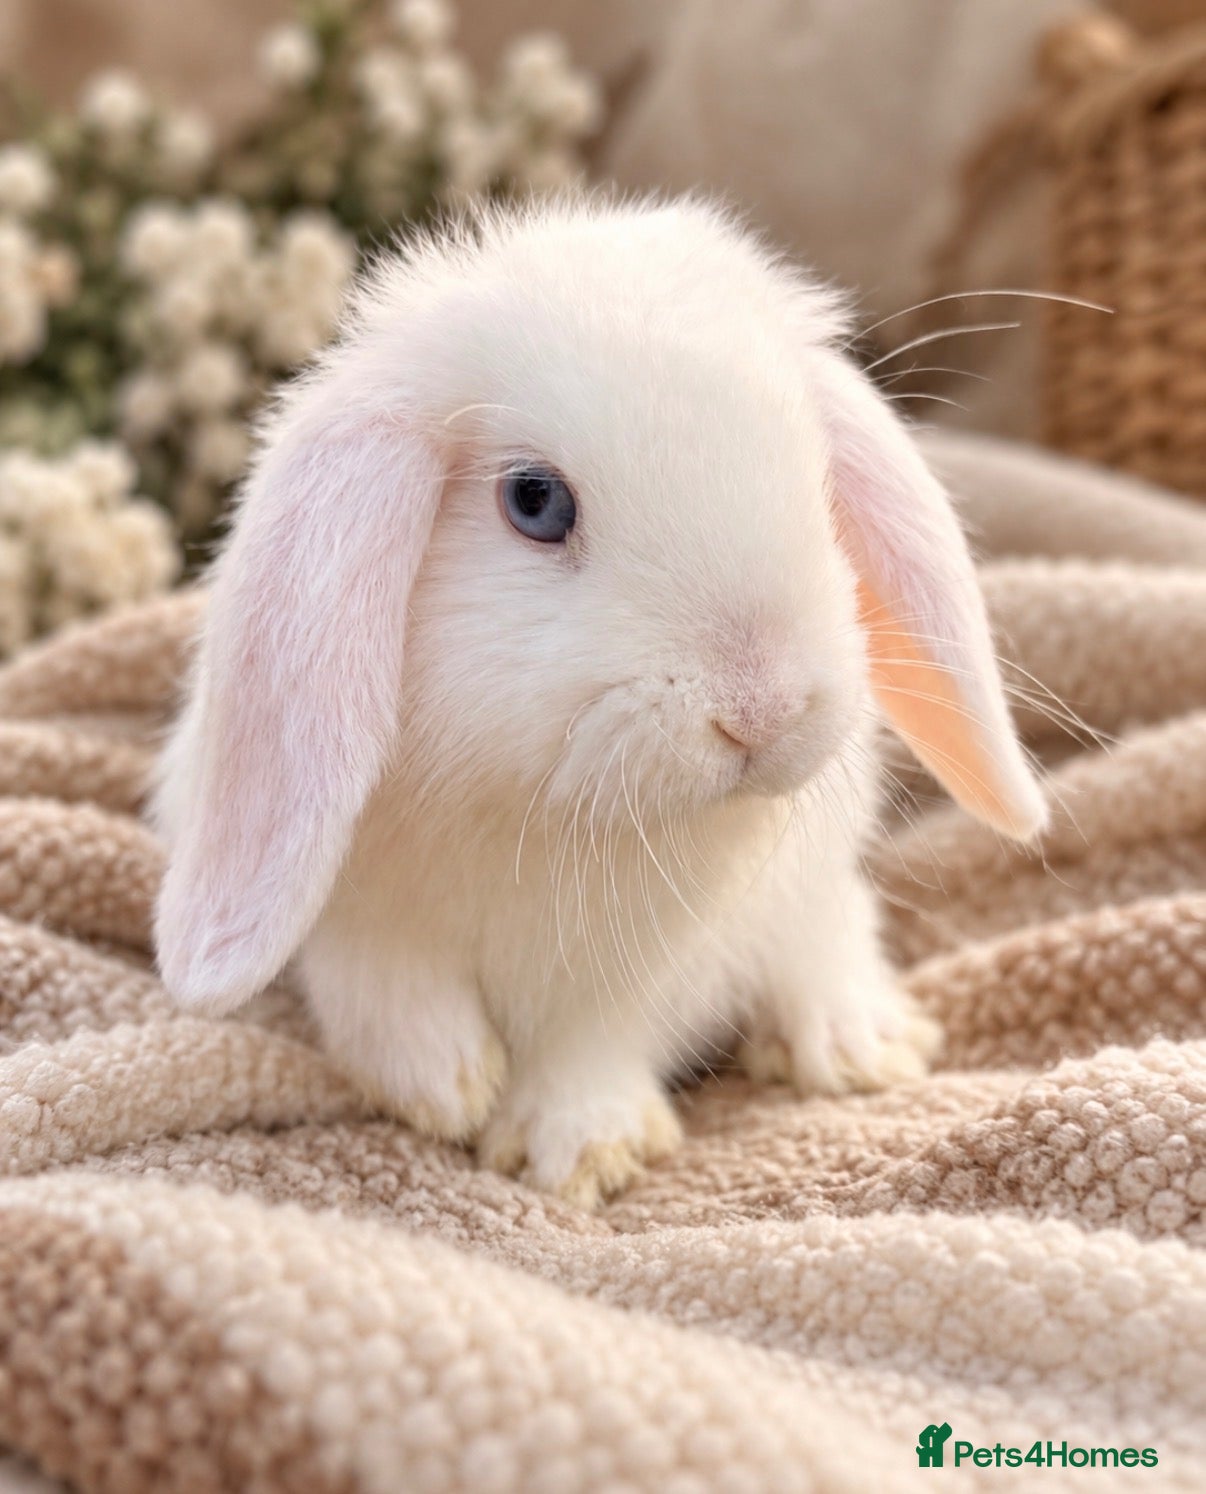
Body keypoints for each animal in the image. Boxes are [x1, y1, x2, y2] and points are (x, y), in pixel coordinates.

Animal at [153, 194, 1046, 1208]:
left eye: (817, 481)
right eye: (535, 501)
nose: (765, 710)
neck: (531, 806)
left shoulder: (634, 974)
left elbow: (591, 1041)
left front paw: (576, 1150)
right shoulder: (352, 917)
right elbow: (380, 984)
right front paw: (441, 1088)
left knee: (831, 933)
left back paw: (860, 1046)